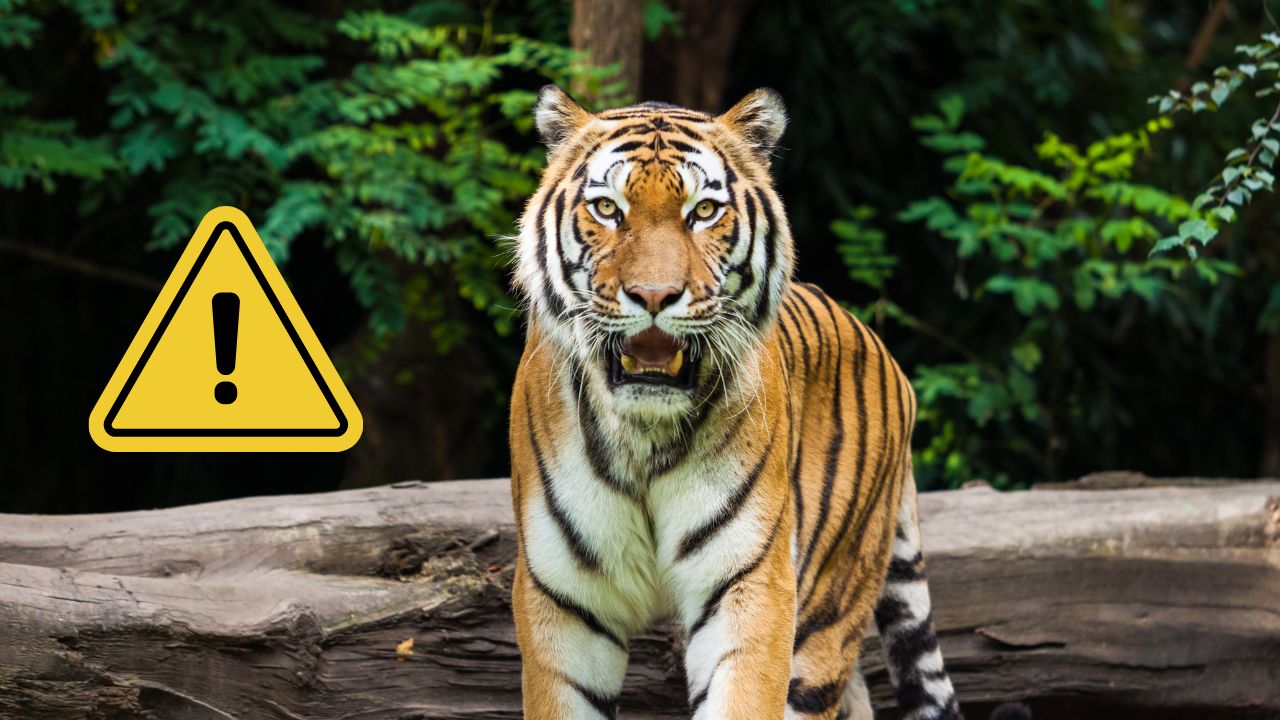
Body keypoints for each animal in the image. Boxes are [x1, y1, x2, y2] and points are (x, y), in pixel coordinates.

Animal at [508, 85, 968, 720]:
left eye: (703, 212)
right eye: (607, 209)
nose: (654, 295)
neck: (645, 436)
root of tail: (880, 346)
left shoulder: (749, 584)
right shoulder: (562, 599)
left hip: (826, 612)